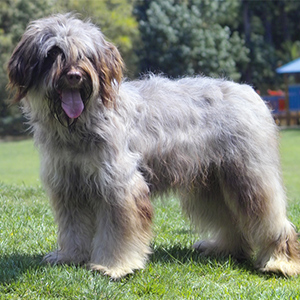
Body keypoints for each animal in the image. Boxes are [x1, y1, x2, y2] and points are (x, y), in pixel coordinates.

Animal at [6, 12, 300, 278]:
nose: (74, 76)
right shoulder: (69, 186)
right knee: (232, 220)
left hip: (249, 177)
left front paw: (115, 266)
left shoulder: (120, 186)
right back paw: (224, 248)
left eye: (87, 55)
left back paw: (280, 262)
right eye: (53, 52)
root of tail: (250, 92)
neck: (79, 126)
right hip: (213, 182)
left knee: (271, 219)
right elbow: (73, 228)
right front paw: (70, 256)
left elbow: (119, 231)